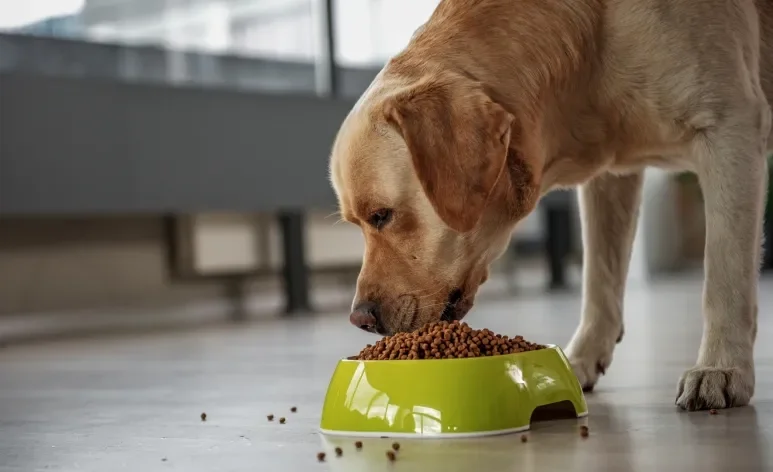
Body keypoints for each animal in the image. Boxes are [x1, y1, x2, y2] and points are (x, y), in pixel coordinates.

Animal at [328, 0, 772, 410]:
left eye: (381, 216)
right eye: (356, 223)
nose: (360, 318)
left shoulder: (730, 129)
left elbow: (725, 275)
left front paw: (721, 368)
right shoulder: (612, 175)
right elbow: (599, 277)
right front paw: (580, 359)